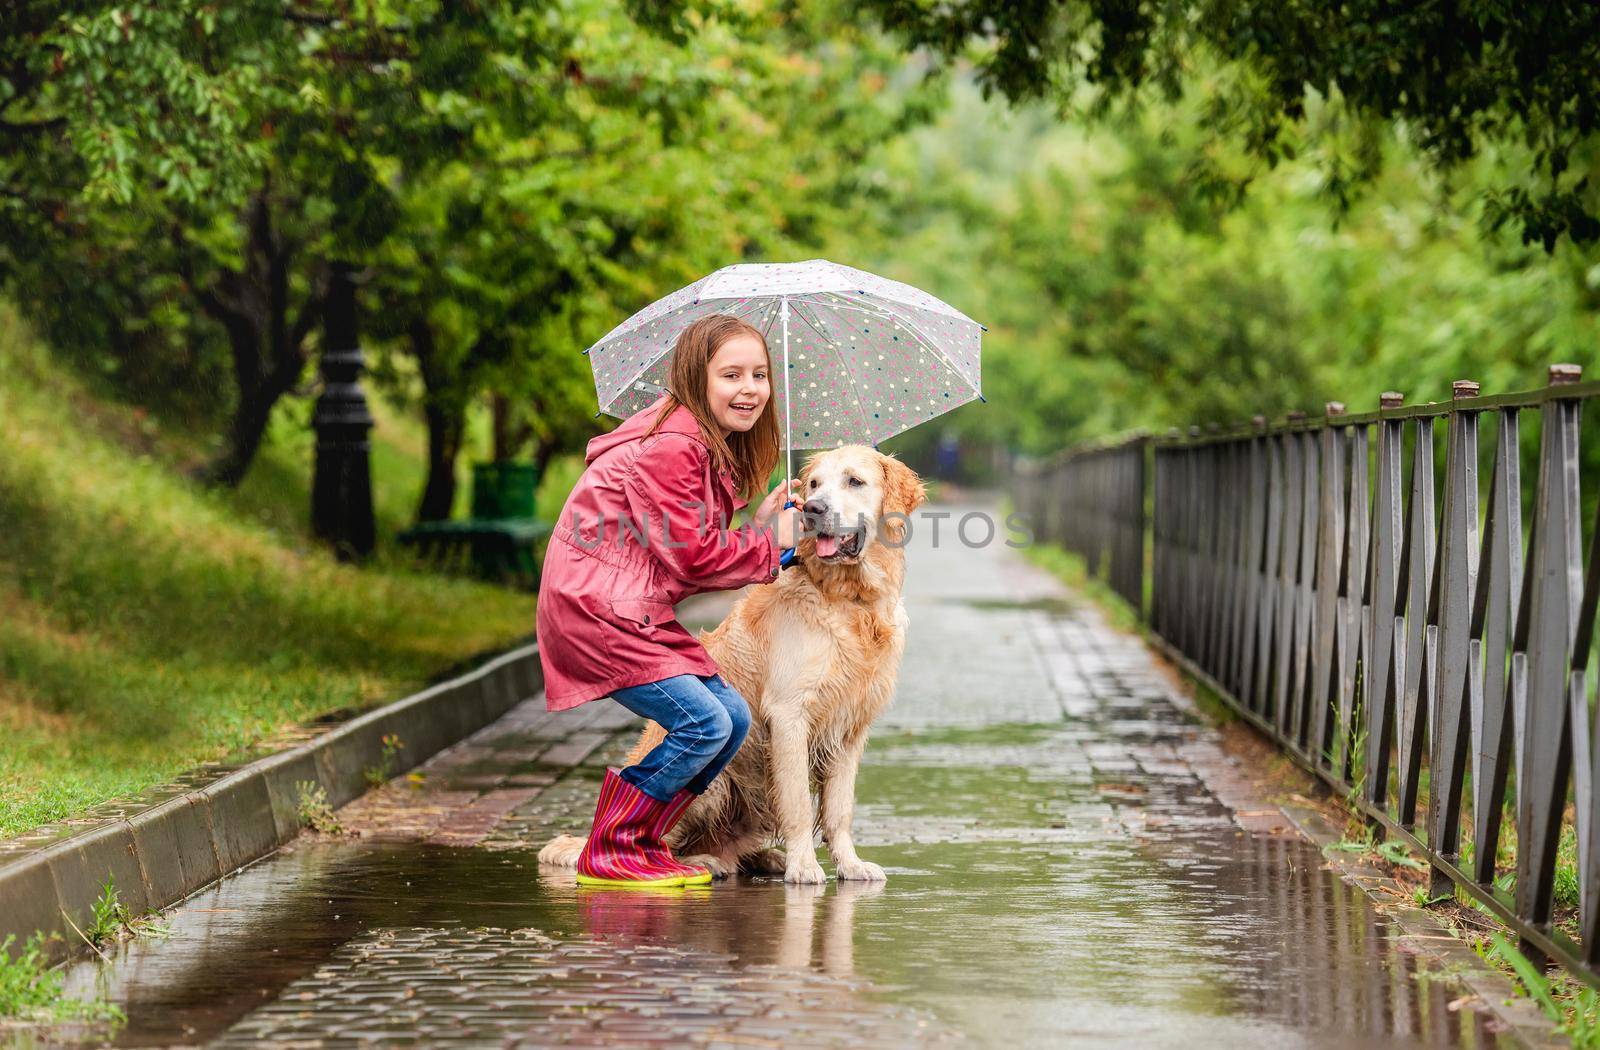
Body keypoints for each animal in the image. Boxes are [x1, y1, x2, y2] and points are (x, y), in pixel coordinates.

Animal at [540, 448, 928, 883]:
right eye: (813, 485)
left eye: (854, 481)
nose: (812, 509)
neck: (850, 600)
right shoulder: (789, 715)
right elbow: (797, 801)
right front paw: (804, 866)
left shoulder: (850, 728)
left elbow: (839, 810)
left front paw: (849, 863)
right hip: (716, 783)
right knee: (663, 835)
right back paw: (686, 863)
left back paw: (761, 858)